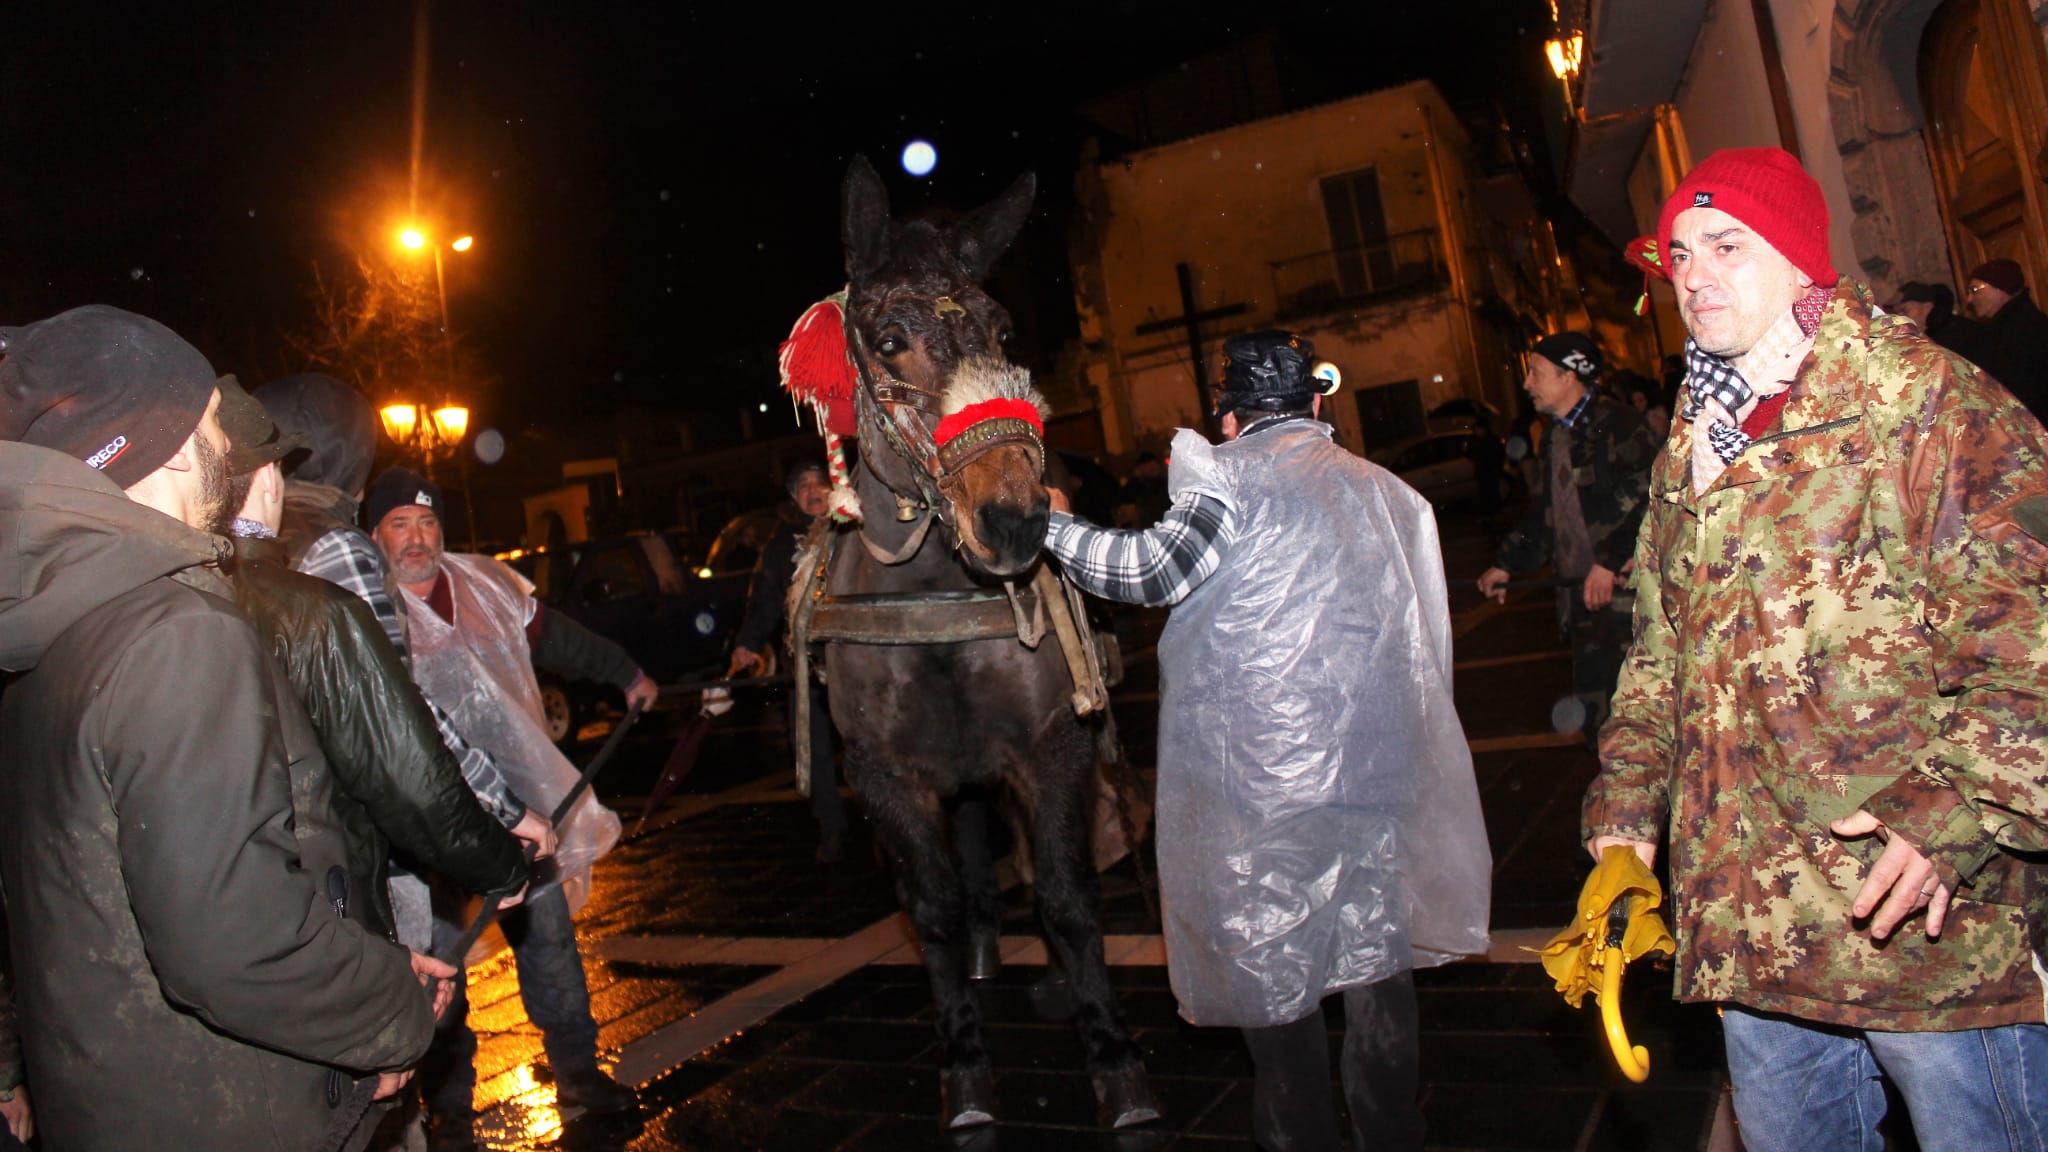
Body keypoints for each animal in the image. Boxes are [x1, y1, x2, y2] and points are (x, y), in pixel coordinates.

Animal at [790, 157, 1160, 1129]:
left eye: (1002, 331)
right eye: (887, 338)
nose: (1016, 519)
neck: (935, 599)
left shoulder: (1051, 748)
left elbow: (1068, 898)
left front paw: (1114, 1057)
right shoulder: (887, 776)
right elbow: (934, 912)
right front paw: (964, 1068)